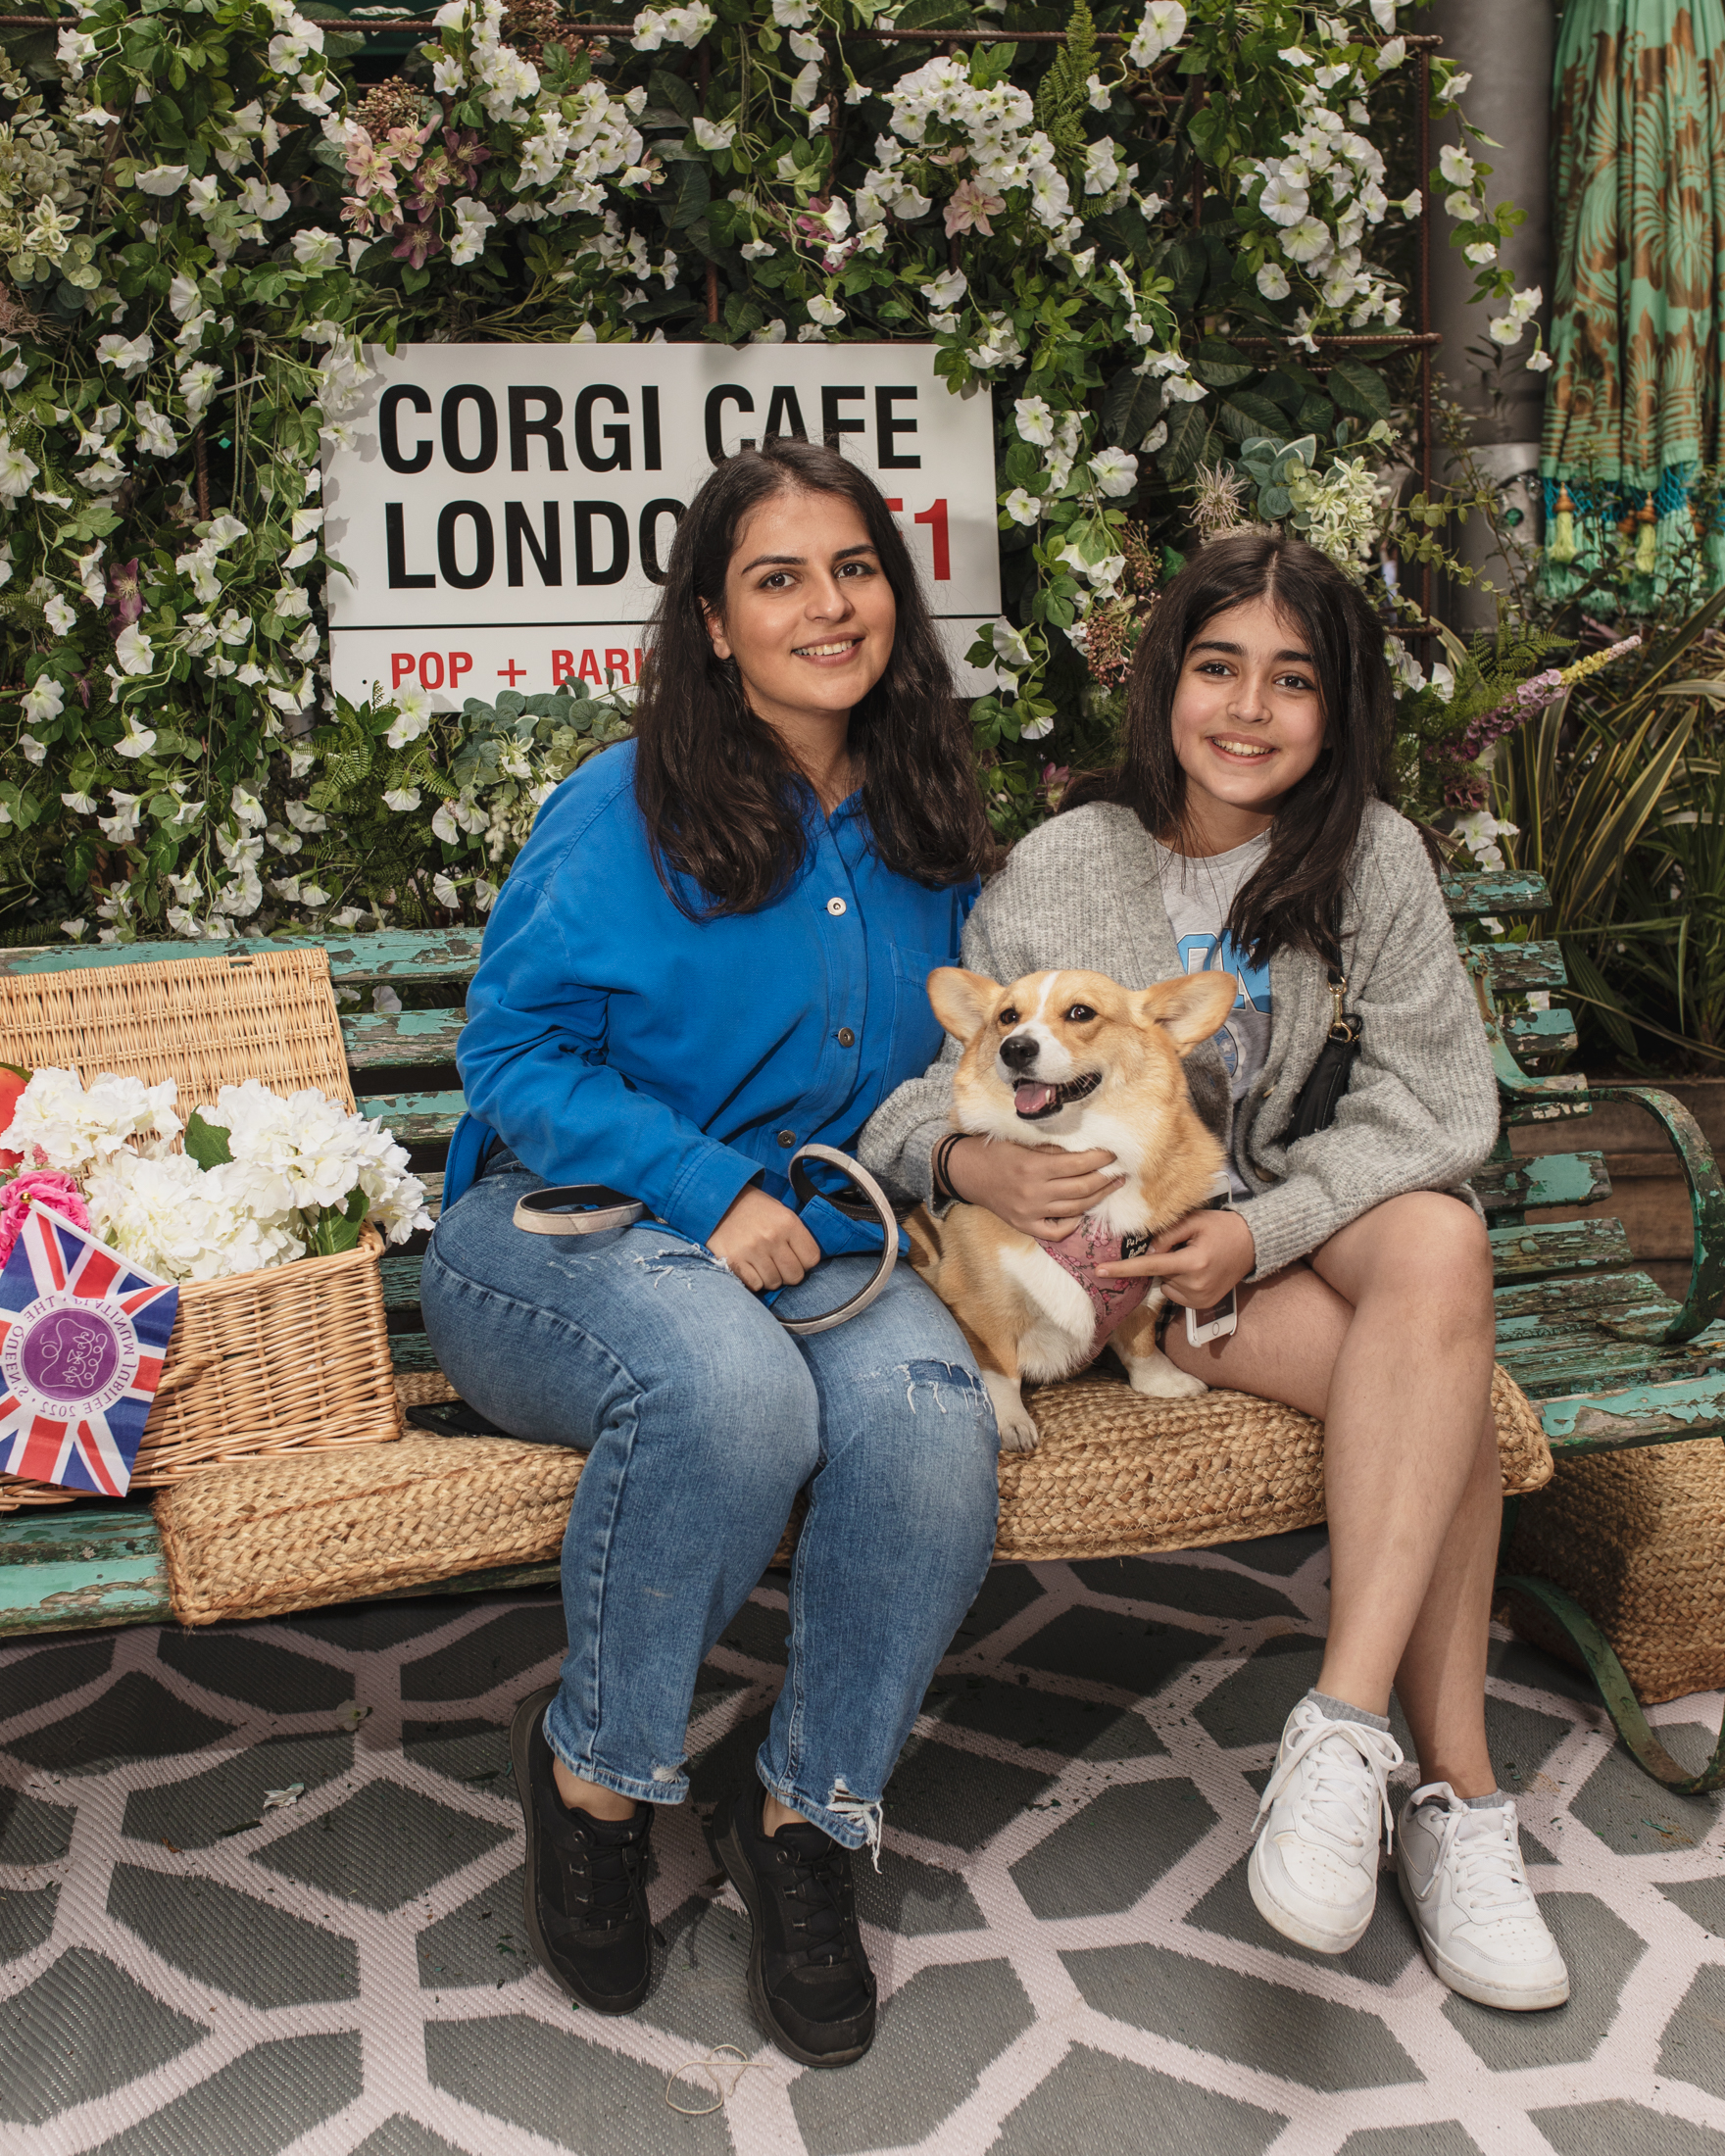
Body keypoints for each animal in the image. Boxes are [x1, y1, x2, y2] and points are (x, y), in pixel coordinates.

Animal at [910, 974, 1233, 1448]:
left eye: (1081, 1012)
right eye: (1008, 1016)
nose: (1014, 1048)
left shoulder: (1147, 1284)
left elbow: (1142, 1344)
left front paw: (1163, 1382)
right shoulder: (980, 1304)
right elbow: (1000, 1369)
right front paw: (1010, 1421)